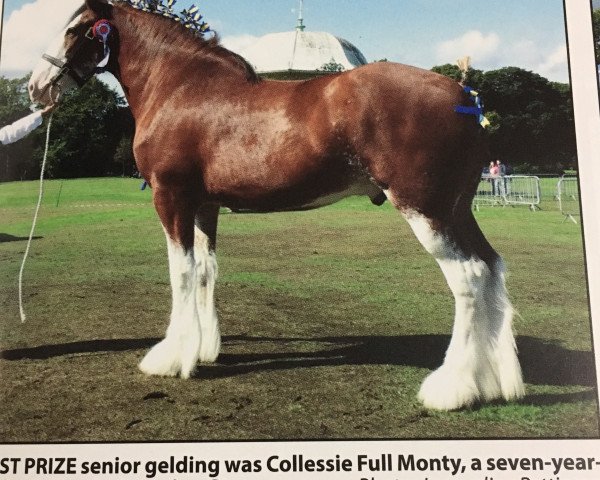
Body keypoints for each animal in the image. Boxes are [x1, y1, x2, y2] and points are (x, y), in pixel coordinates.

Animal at [30, 0, 524, 412]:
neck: (179, 87)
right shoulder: (205, 205)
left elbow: (181, 272)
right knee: (492, 268)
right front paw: (204, 348)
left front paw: (169, 358)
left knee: (468, 277)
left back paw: (450, 388)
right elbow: (206, 270)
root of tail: (463, 95)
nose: (36, 87)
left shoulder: (171, 198)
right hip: (458, 211)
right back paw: (496, 382)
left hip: (427, 211)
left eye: (75, 29)